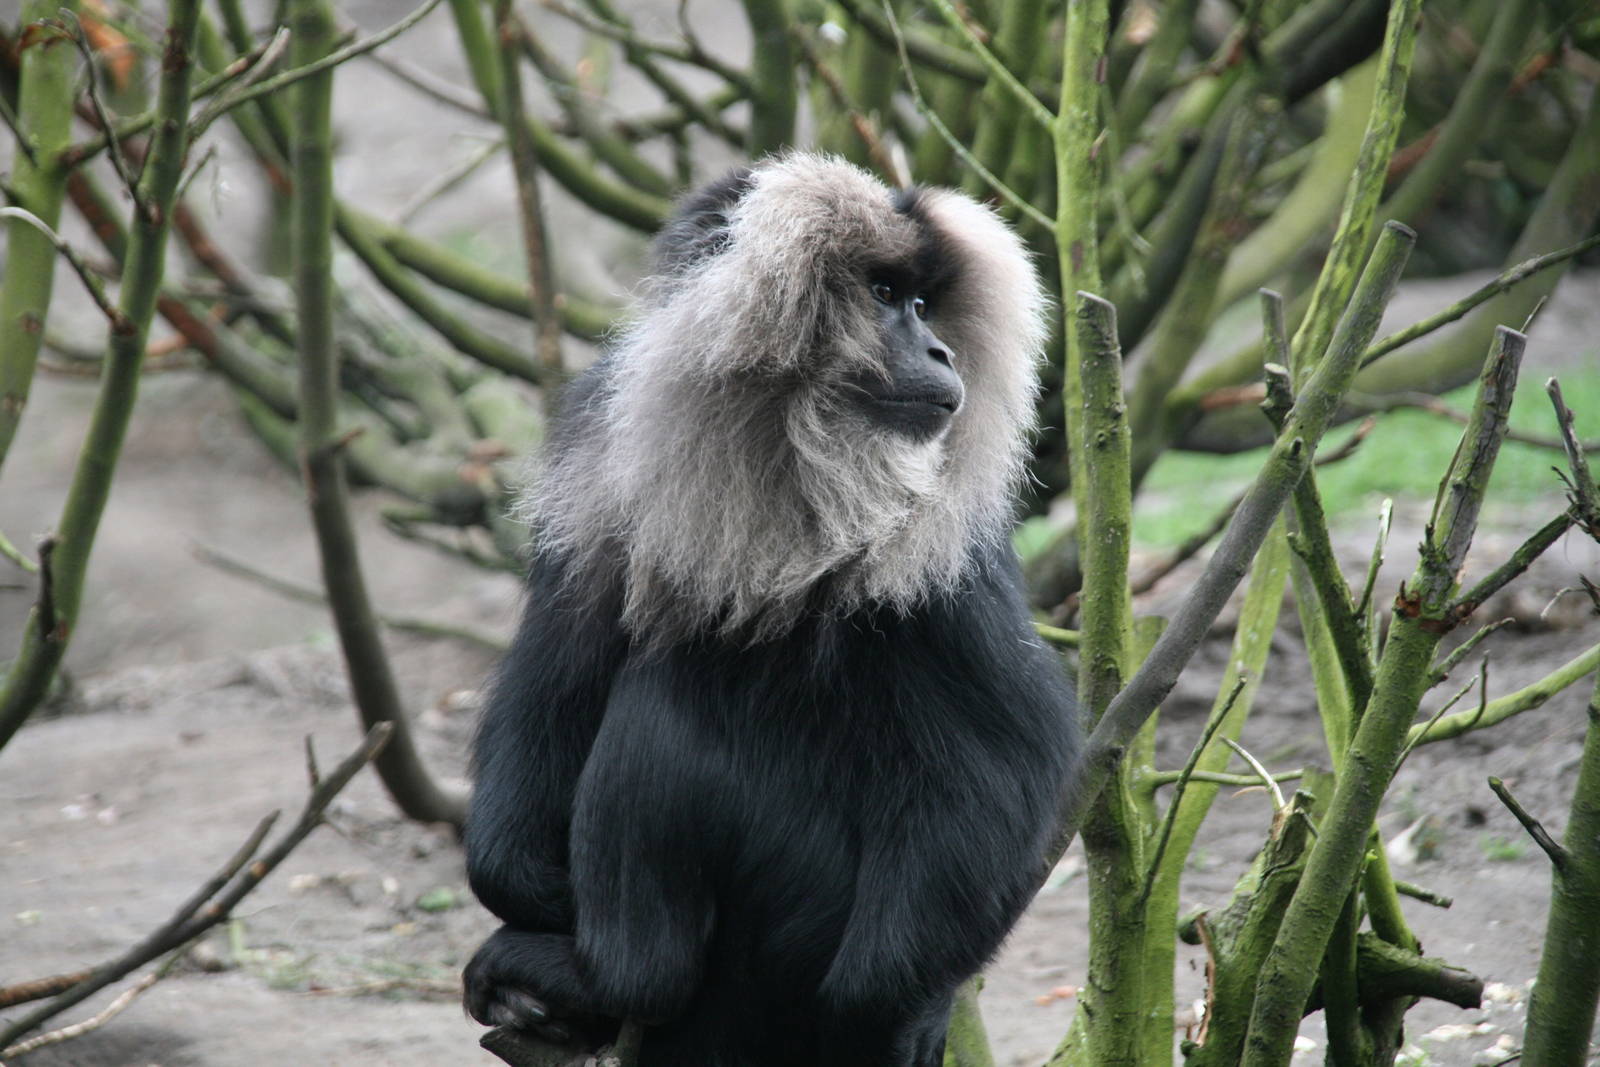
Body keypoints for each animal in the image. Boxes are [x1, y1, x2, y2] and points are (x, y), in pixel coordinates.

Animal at [462, 153, 1079, 1067]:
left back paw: (615, 980)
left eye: (923, 303)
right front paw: (522, 884)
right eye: (885, 293)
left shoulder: (940, 526)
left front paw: (895, 1016)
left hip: (799, 917)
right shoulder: (599, 444)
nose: (938, 346)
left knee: (662, 708)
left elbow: (1018, 754)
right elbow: (560, 657)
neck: (769, 434)